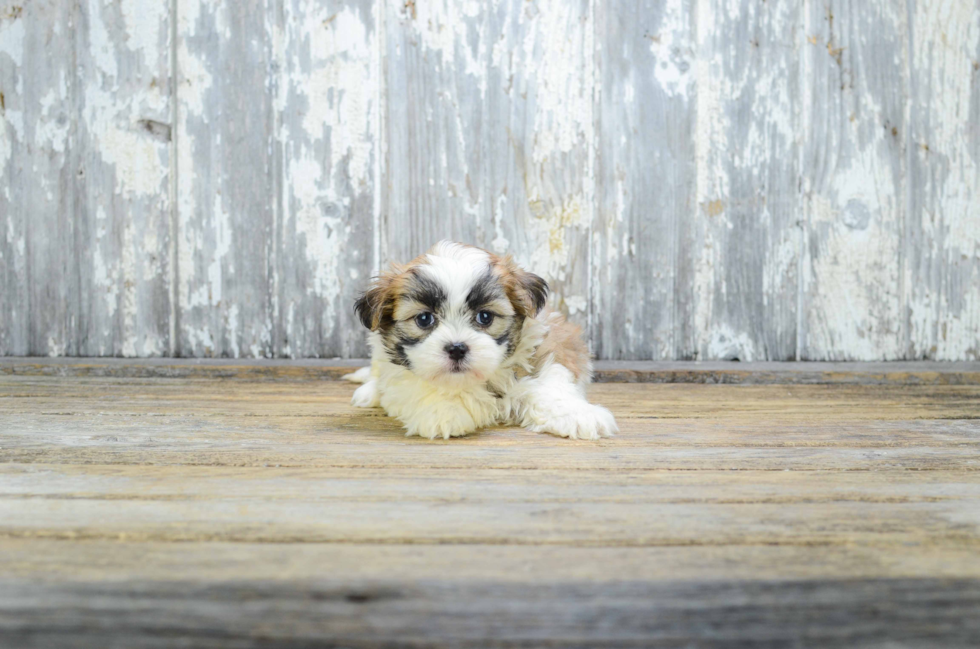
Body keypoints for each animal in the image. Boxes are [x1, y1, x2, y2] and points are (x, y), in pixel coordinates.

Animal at [344, 240, 616, 442]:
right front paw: (443, 410)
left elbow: (551, 382)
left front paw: (578, 415)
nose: (456, 348)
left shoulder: (551, 346)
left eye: (485, 317)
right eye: (424, 319)